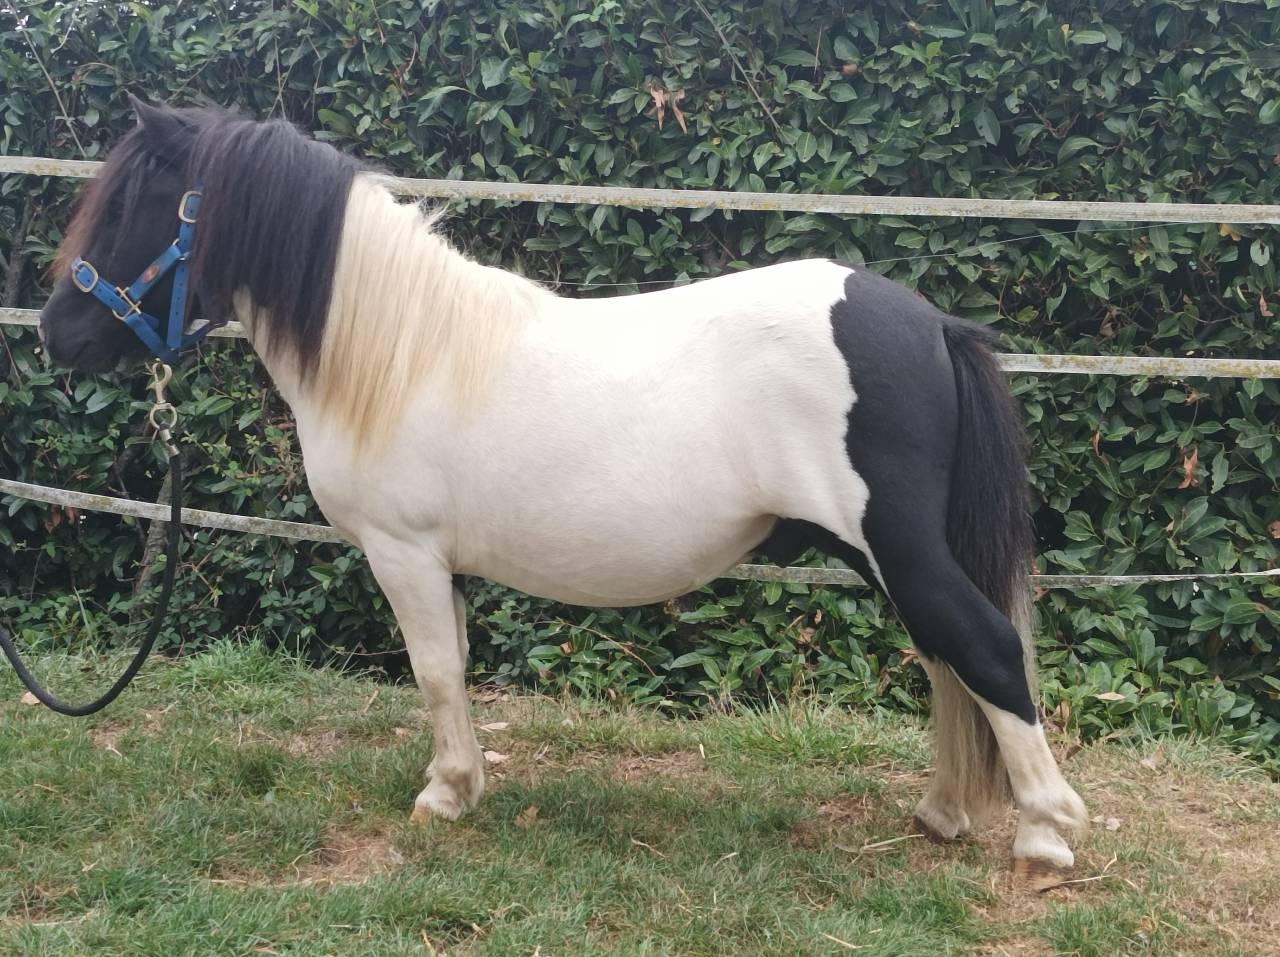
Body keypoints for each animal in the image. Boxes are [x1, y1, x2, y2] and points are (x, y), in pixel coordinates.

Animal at [37, 99, 1087, 879]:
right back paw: (943, 811)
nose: (55, 334)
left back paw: (1044, 833)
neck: (398, 354)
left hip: (895, 545)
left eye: (130, 204)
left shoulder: (404, 553)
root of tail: (932, 323)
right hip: (883, 555)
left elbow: (434, 671)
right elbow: (457, 668)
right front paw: (463, 782)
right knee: (947, 659)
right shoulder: (442, 564)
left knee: (984, 648)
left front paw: (444, 794)